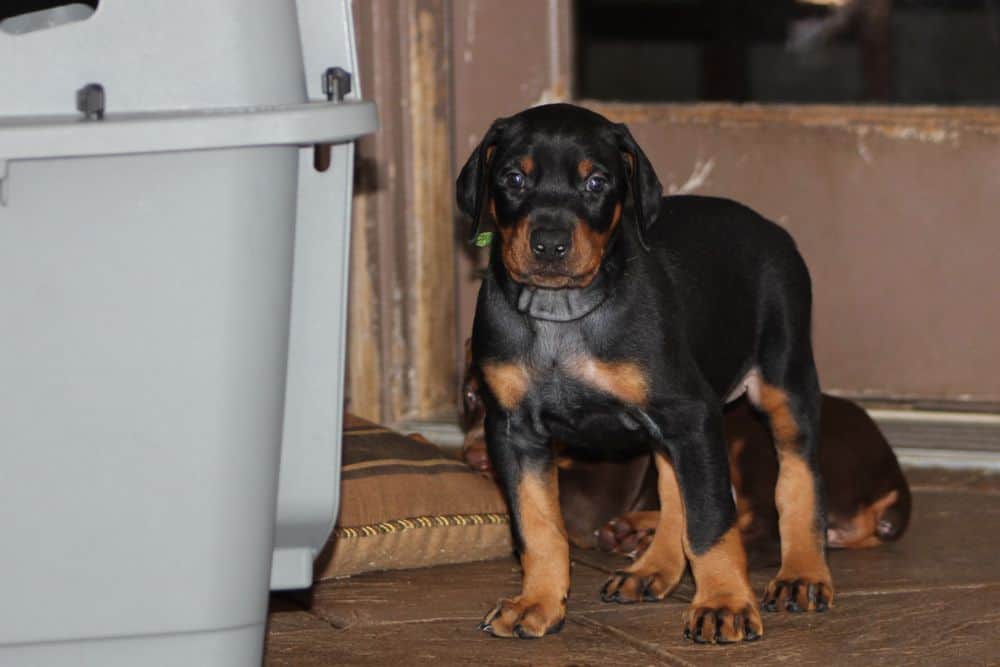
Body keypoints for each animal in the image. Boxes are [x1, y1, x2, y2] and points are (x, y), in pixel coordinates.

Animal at [458, 103, 832, 640]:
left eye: (596, 183)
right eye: (512, 178)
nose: (549, 244)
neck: (562, 315)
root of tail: (769, 227)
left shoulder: (692, 414)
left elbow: (712, 519)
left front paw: (724, 604)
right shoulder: (513, 431)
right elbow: (537, 525)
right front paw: (537, 603)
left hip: (785, 380)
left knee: (799, 476)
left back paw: (801, 573)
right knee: (675, 489)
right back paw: (652, 569)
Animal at [462, 360, 916, 560]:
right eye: (469, 397)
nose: (474, 455)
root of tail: (893, 481)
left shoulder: (596, 491)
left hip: (758, 448)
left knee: (761, 527)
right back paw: (634, 533)